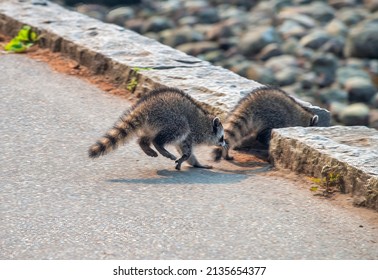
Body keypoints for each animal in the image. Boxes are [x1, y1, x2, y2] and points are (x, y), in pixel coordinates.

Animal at [88, 87, 224, 170]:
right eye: (222, 138)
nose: (224, 144)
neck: (206, 124)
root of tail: (144, 106)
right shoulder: (192, 135)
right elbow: (187, 150)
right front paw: (187, 159)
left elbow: (184, 151)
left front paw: (195, 163)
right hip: (169, 118)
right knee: (180, 128)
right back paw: (158, 145)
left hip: (151, 125)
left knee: (144, 138)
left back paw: (144, 145)